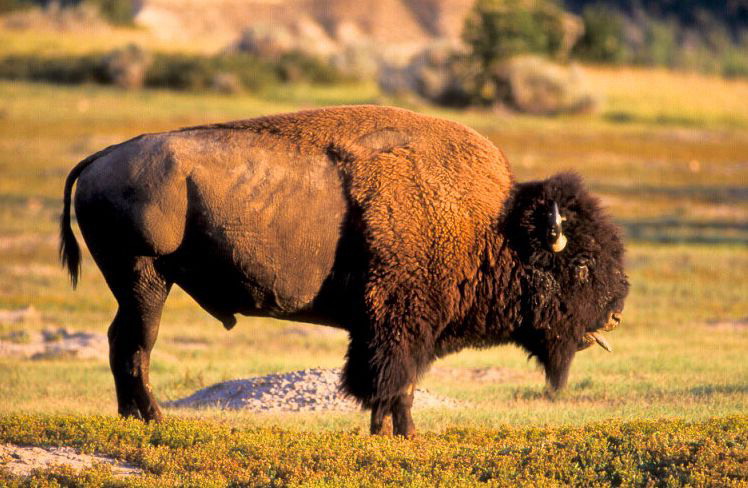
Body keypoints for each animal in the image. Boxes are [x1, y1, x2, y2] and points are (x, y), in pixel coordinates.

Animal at [60, 105, 628, 437]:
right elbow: (395, 381)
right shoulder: (398, 325)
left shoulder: (396, 329)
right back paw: (154, 418)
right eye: (580, 266)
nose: (616, 313)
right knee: (136, 344)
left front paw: (390, 434)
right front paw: (402, 435)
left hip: (138, 283)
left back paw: (133, 417)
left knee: (121, 341)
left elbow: (396, 385)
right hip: (145, 277)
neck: (491, 226)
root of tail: (102, 158)